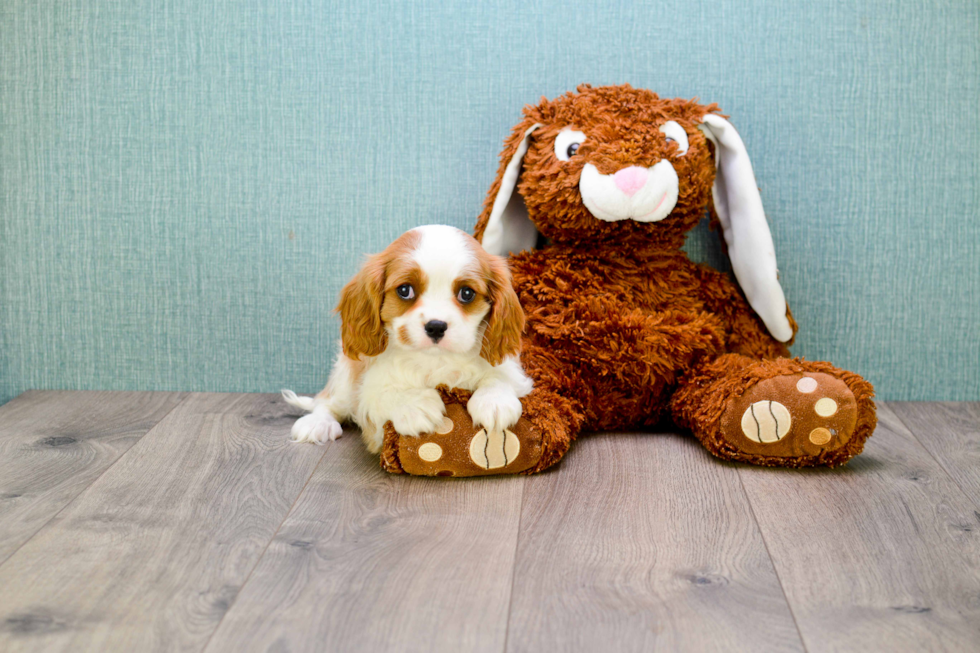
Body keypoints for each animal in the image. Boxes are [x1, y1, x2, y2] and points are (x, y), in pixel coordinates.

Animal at [280, 224, 532, 454]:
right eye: (405, 290)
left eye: (467, 293)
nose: (436, 326)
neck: (436, 360)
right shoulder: (370, 386)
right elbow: (384, 393)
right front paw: (414, 406)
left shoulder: (511, 370)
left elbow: (500, 375)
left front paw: (494, 401)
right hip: (344, 375)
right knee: (327, 402)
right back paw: (318, 423)